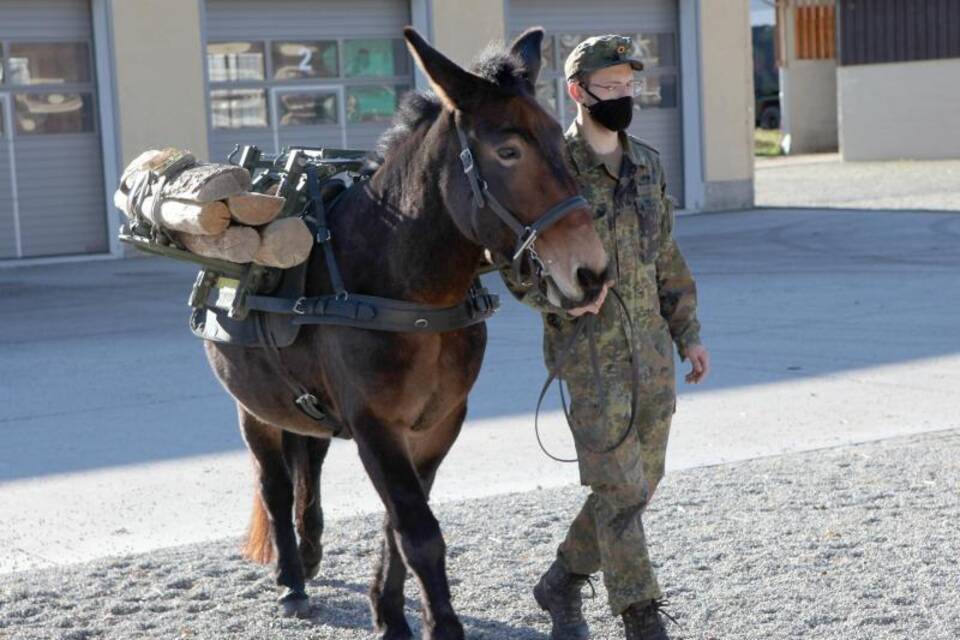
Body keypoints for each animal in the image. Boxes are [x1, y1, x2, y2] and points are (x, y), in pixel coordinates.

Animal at [206, 26, 612, 640]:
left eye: (563, 147)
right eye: (508, 151)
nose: (591, 273)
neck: (410, 294)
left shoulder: (439, 422)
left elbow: (399, 523)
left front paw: (390, 611)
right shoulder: (376, 425)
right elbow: (417, 531)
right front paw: (437, 625)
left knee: (310, 462)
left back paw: (311, 548)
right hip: (254, 406)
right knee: (274, 482)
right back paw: (292, 580)